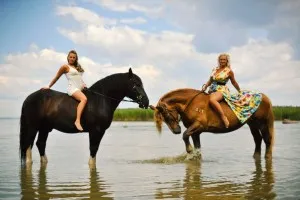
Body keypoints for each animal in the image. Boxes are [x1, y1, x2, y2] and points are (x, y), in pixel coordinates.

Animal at [19, 69, 149, 167]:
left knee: (40, 144)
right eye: (136, 84)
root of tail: (28, 98)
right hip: (32, 127)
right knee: (28, 146)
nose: (146, 102)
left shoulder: (101, 132)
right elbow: (93, 150)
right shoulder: (95, 131)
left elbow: (95, 150)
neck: (100, 100)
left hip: (44, 128)